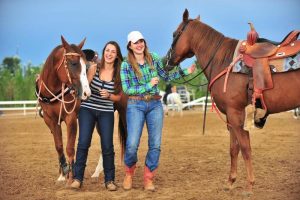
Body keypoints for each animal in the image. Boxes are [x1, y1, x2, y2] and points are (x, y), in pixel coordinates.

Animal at [164, 9, 300, 194]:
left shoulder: (236, 114)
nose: (166, 61)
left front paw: (249, 185)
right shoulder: (231, 117)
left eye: (175, 33)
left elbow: (245, 148)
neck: (224, 60)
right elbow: (233, 149)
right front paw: (230, 181)